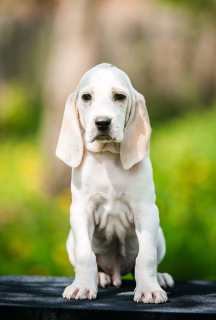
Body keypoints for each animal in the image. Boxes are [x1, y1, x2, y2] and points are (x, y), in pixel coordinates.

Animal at [55, 62, 174, 302]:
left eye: (119, 96)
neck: (108, 157)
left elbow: (146, 257)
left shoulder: (146, 212)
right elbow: (85, 255)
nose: (102, 123)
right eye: (86, 97)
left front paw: (149, 289)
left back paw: (161, 278)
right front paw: (82, 286)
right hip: (70, 240)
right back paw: (102, 277)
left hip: (160, 236)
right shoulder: (81, 212)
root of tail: (117, 274)